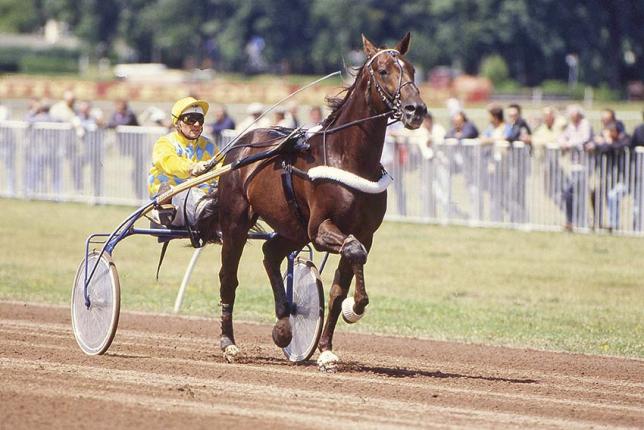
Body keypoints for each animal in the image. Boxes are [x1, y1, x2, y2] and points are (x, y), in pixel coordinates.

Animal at [211, 31, 426, 372]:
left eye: (413, 70)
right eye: (383, 71)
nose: (415, 109)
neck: (347, 158)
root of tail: (241, 145)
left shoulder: (364, 232)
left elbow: (341, 284)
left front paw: (326, 348)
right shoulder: (321, 228)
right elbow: (354, 250)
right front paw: (357, 307)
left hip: (293, 228)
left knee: (271, 253)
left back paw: (284, 325)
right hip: (235, 223)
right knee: (228, 277)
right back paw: (228, 343)